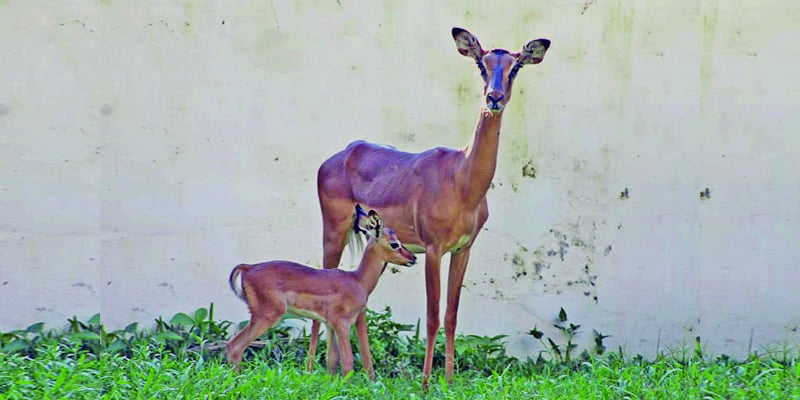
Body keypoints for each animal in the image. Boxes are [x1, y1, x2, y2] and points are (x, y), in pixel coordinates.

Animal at [226, 205, 417, 378]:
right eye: (394, 244)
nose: (413, 258)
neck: (358, 280)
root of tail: (247, 268)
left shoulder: (329, 324)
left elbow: (332, 360)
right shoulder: (342, 323)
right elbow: (348, 362)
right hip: (267, 316)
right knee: (235, 346)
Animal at [307, 27, 550, 386]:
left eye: (515, 66)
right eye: (481, 64)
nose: (494, 98)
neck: (462, 180)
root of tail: (340, 155)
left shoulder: (463, 250)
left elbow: (451, 315)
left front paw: (448, 380)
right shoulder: (433, 249)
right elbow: (432, 315)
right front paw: (424, 382)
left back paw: (340, 370)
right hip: (333, 231)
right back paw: (317, 369)